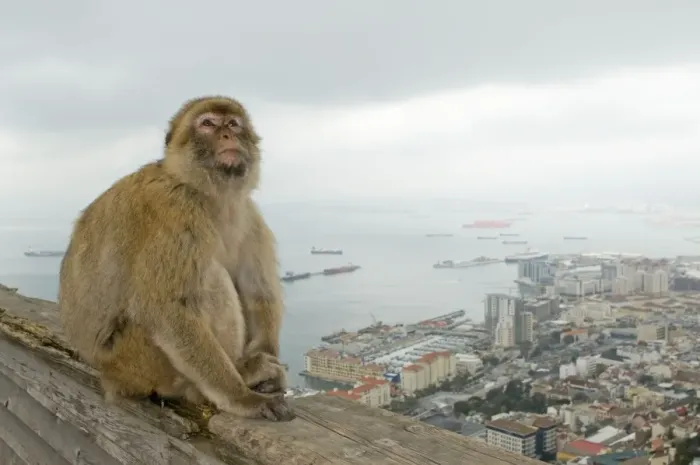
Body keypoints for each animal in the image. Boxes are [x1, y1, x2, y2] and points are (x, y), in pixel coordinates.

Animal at [58, 96, 294, 421]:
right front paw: (243, 398)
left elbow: (258, 292)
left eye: (233, 123)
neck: (207, 193)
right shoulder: (175, 209)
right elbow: (167, 308)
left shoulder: (248, 214)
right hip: (140, 360)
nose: (227, 134)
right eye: (207, 123)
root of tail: (108, 374)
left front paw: (266, 361)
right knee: (211, 278)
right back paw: (236, 376)